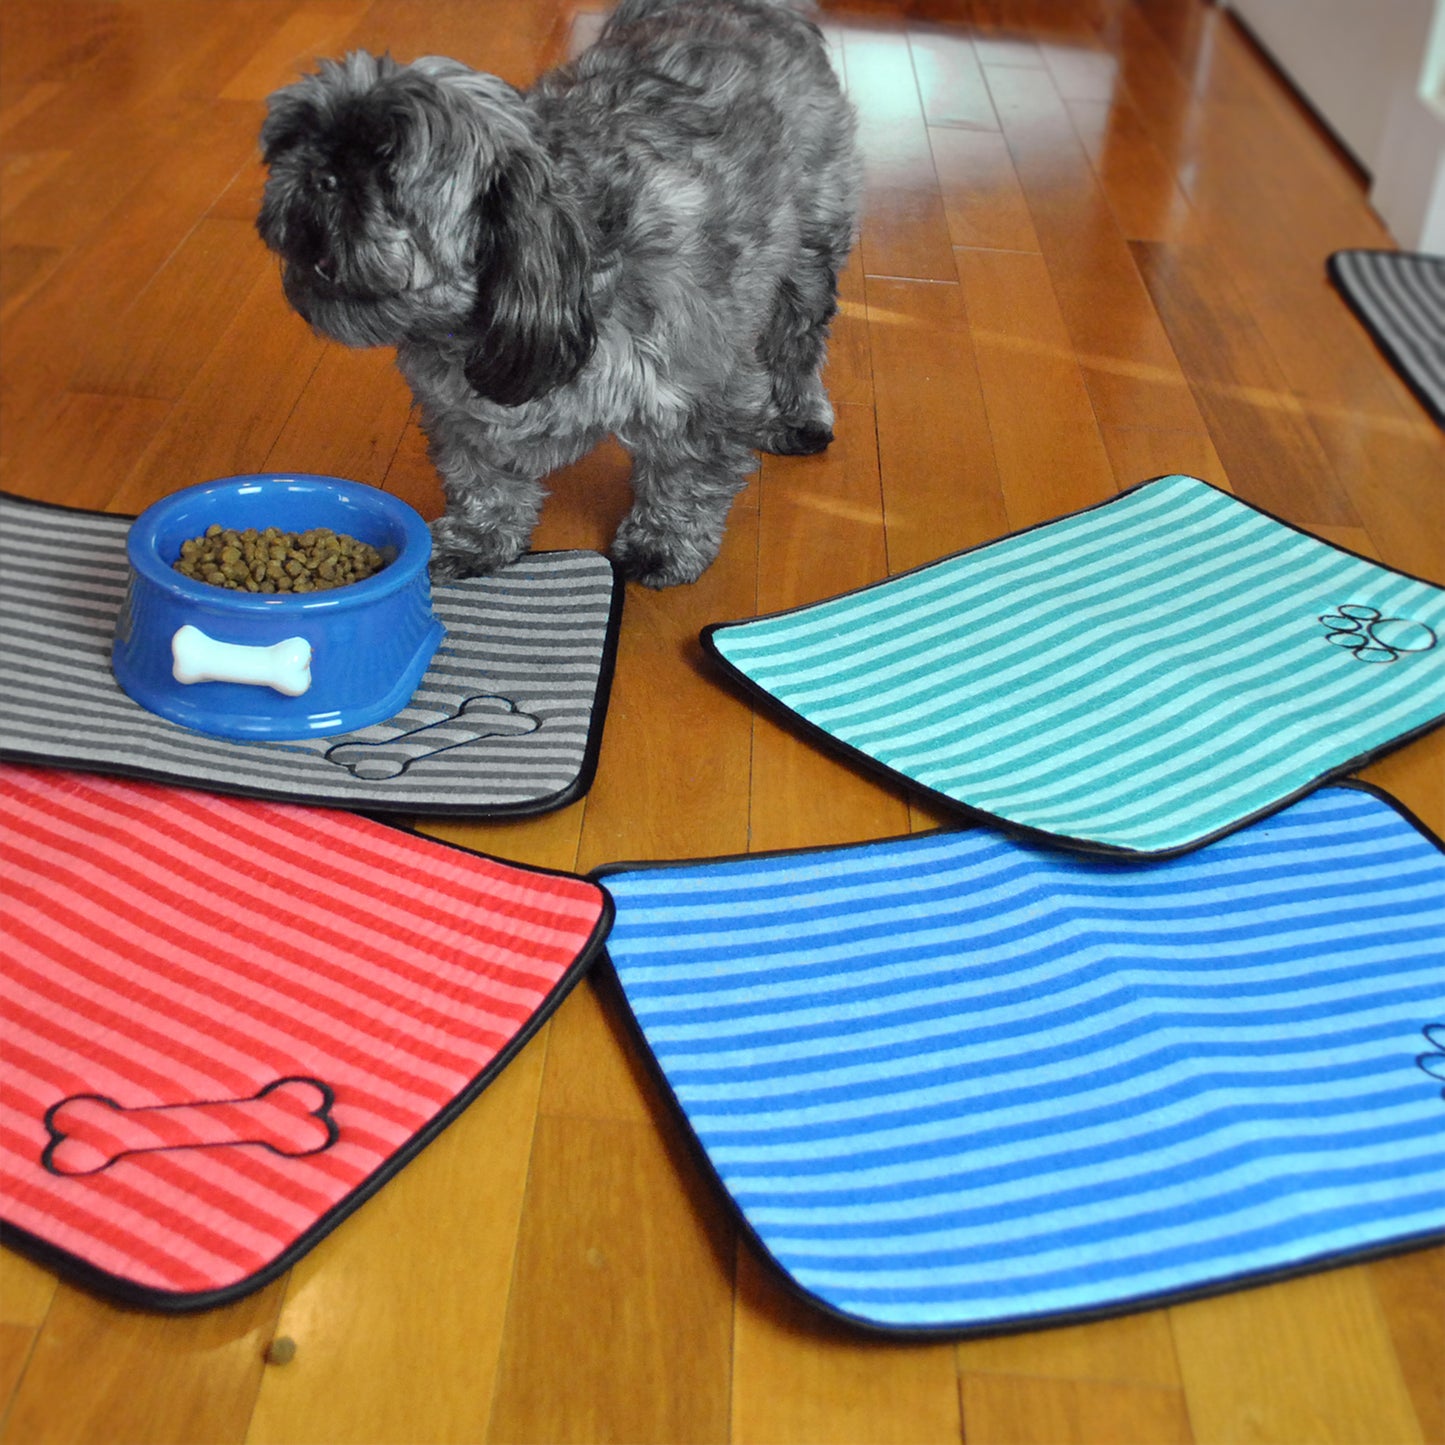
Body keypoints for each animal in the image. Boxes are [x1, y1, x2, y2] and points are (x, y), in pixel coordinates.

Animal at [258, 1, 855, 586]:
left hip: (811, 247)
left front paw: (663, 544)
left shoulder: (701, 390)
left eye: (386, 167)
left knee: (798, 338)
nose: (318, 173)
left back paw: (799, 414)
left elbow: (684, 475)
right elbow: (481, 477)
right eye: (293, 141)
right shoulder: (458, 409)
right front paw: (478, 539)